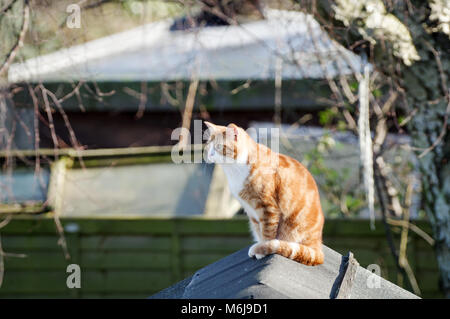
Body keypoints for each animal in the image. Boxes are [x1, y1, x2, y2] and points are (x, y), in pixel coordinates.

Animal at [204, 121, 324, 266]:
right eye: (208, 146)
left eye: (219, 146)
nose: (209, 155)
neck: (236, 168)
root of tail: (318, 243)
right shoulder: (252, 213)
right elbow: (259, 231)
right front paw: (260, 245)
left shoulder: (268, 207)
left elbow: (267, 233)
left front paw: (262, 249)